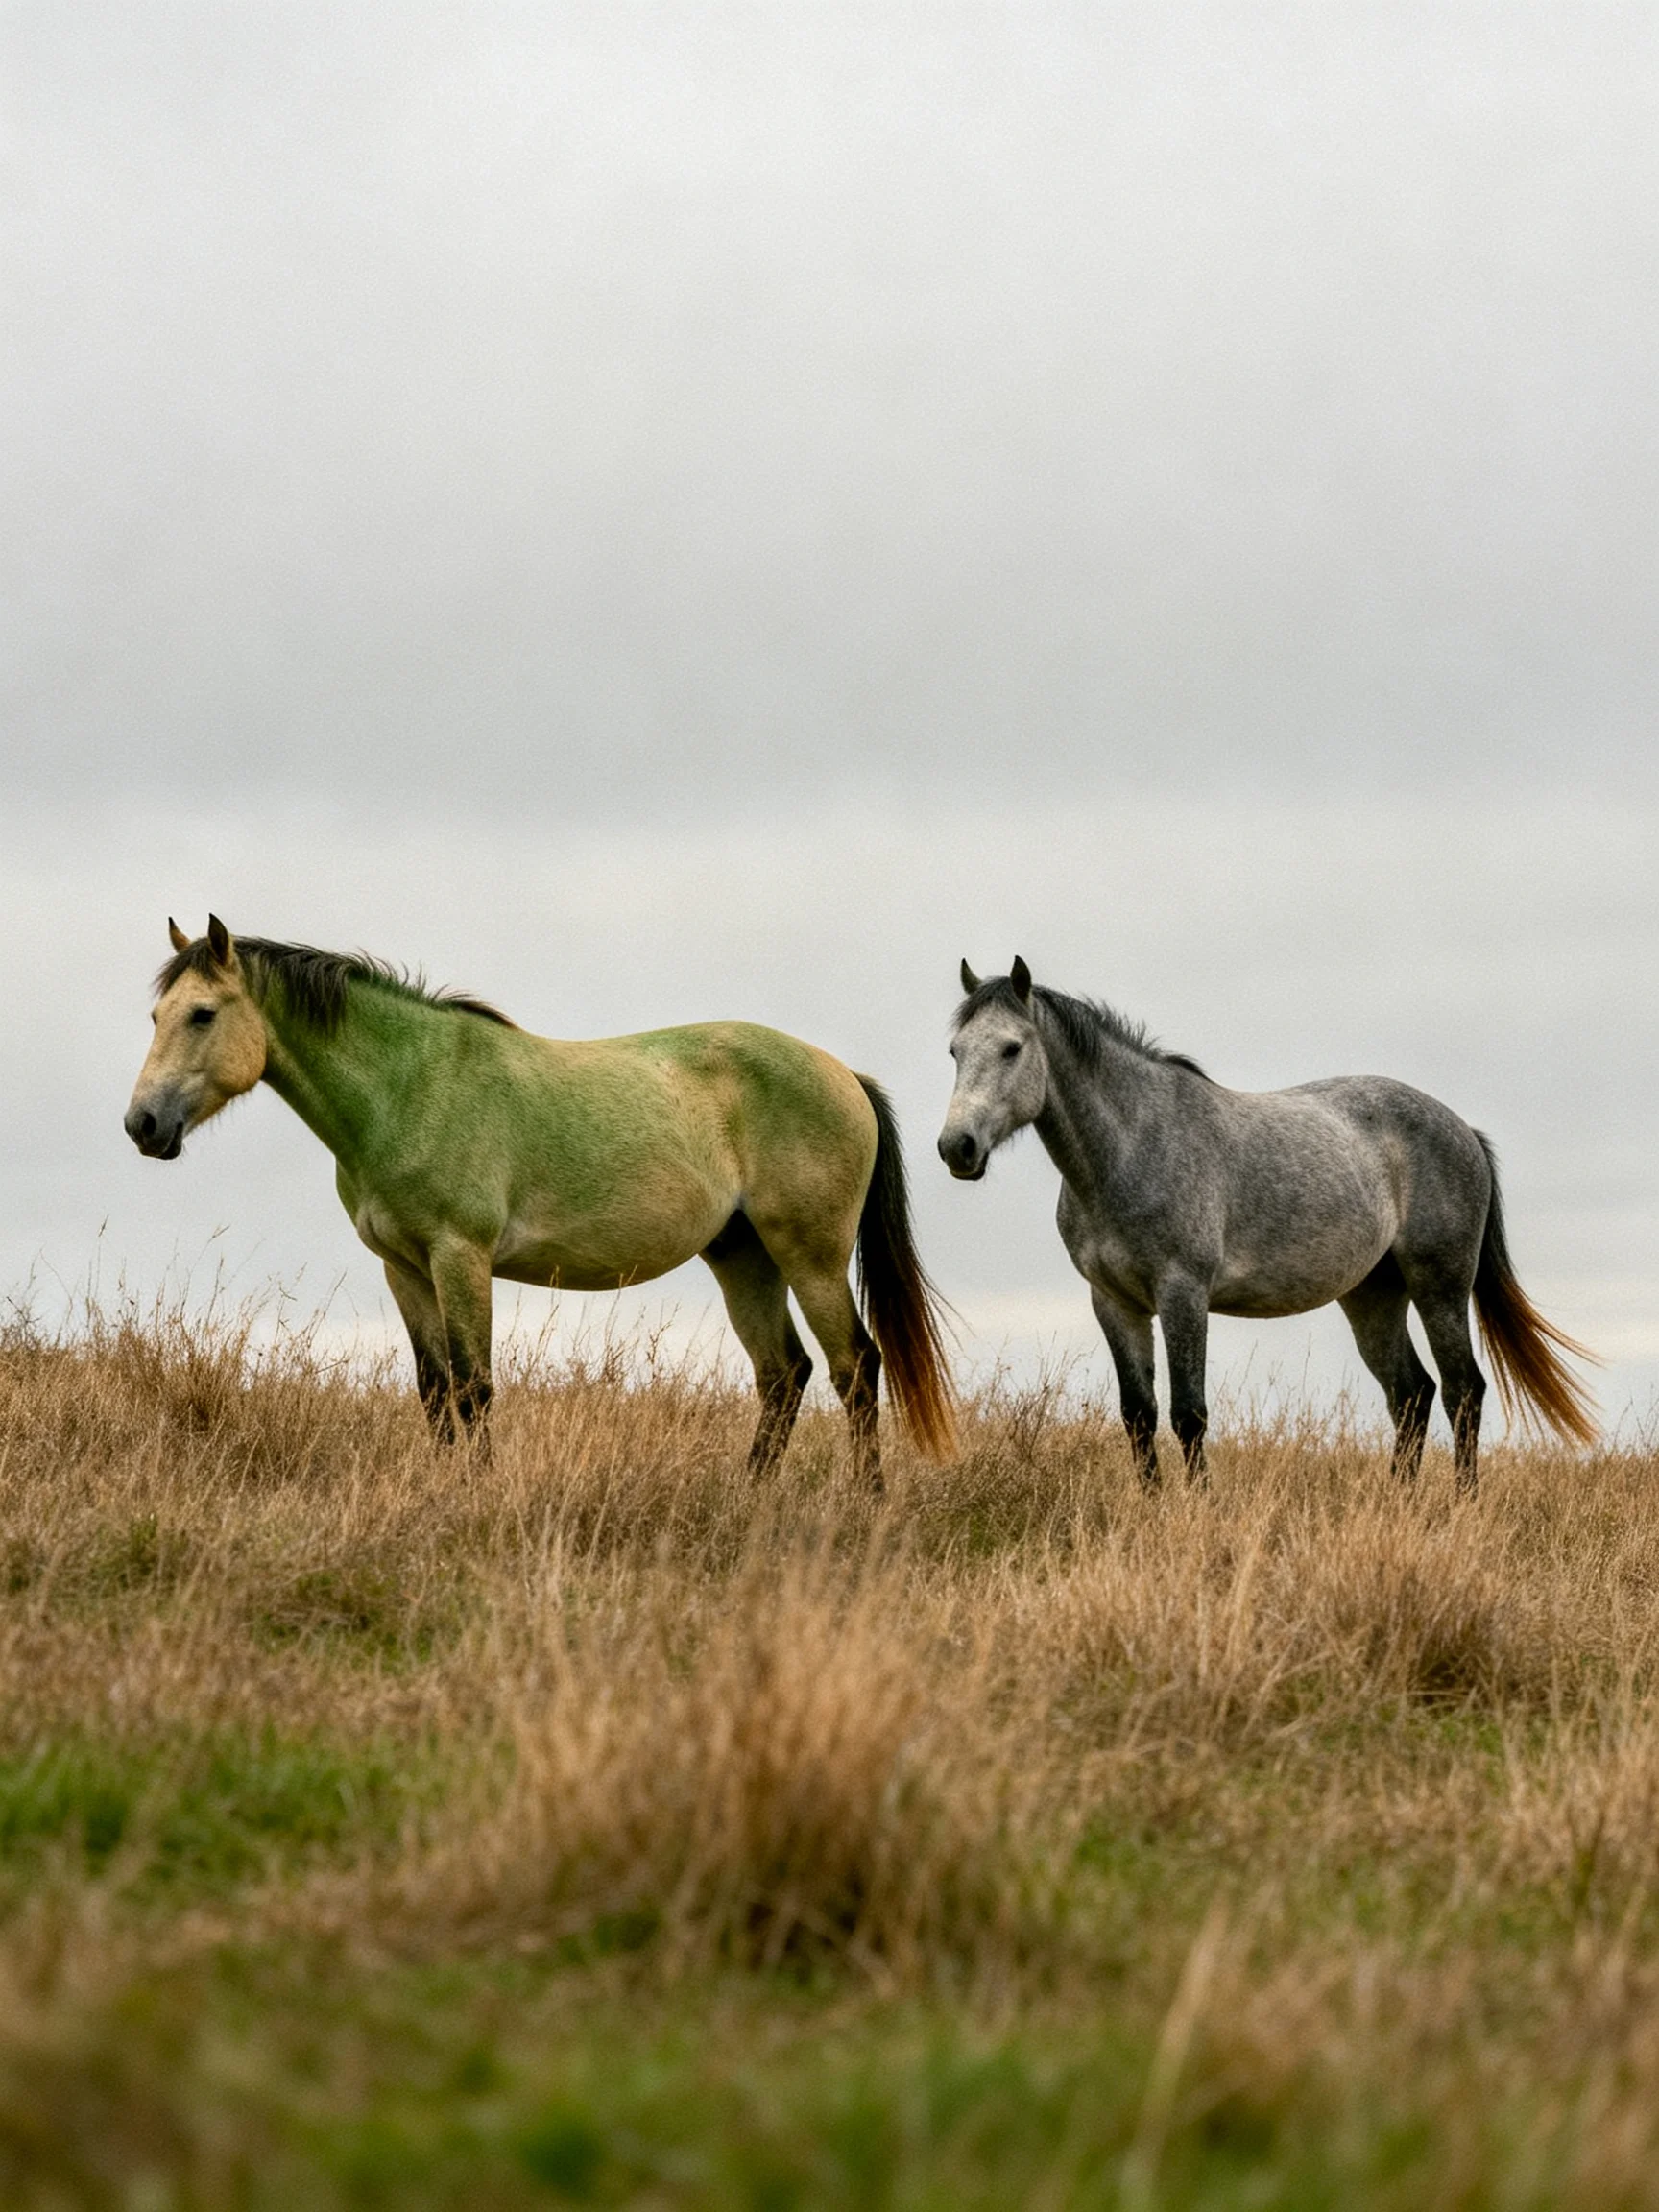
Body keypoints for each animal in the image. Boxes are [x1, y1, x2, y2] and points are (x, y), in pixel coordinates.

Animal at [124, 917, 956, 1485]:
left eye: (202, 1014)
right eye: (155, 1017)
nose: (142, 1125)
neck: (406, 1086)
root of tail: (844, 1075)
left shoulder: (460, 1256)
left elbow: (474, 1388)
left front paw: (479, 1492)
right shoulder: (405, 1268)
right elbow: (434, 1391)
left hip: (809, 1256)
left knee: (855, 1367)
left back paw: (866, 1502)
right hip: (742, 1255)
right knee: (783, 1376)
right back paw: (750, 1495)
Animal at [937, 958, 1595, 1493]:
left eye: (1012, 1048)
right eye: (955, 1052)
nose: (956, 1148)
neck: (1133, 1146)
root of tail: (1462, 1130)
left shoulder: (1183, 1293)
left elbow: (1189, 1413)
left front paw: (1198, 1510)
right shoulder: (1114, 1302)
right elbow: (1139, 1415)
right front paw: (1152, 1508)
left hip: (1440, 1285)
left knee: (1463, 1393)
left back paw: (1460, 1504)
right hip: (1373, 1294)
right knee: (1412, 1394)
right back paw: (1401, 1504)